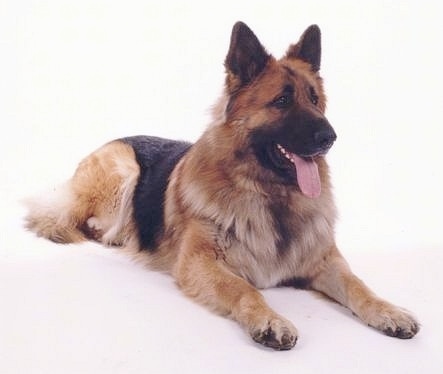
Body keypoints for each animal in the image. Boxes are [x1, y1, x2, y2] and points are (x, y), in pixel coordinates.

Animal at [24, 21, 420, 350]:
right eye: (282, 101)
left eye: (314, 100)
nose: (330, 137)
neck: (270, 196)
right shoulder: (200, 263)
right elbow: (244, 289)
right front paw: (270, 320)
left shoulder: (326, 260)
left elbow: (358, 285)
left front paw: (389, 311)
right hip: (124, 167)